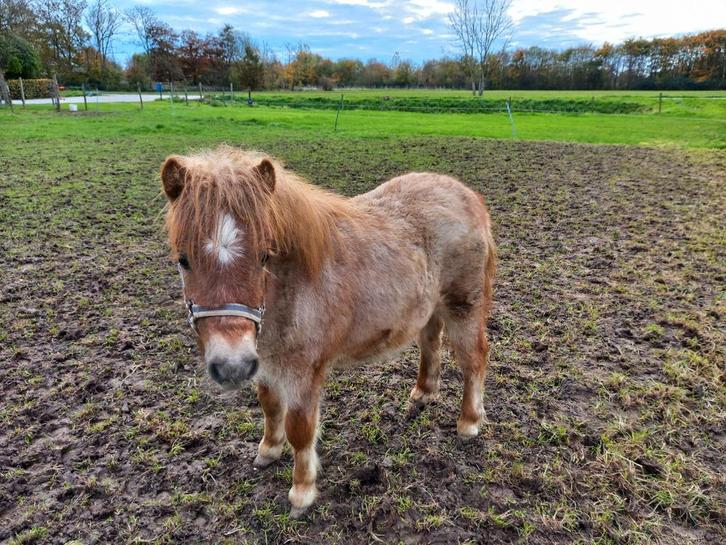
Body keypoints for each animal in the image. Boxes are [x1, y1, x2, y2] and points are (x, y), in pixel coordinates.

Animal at [160, 145, 496, 516]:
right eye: (183, 259)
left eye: (264, 256)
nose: (232, 366)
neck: (289, 287)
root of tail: (467, 196)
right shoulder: (266, 362)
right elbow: (269, 406)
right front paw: (268, 450)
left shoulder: (304, 372)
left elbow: (300, 429)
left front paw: (302, 492)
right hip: (429, 309)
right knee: (430, 343)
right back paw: (422, 393)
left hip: (463, 306)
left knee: (474, 360)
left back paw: (469, 422)